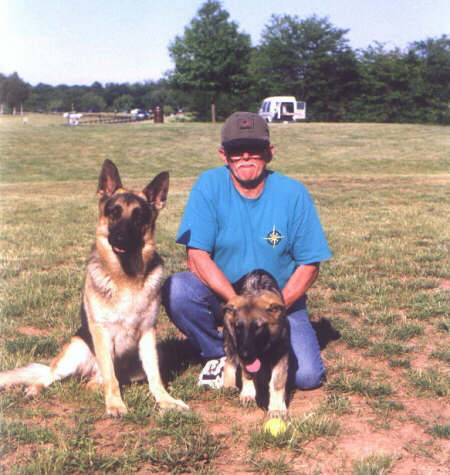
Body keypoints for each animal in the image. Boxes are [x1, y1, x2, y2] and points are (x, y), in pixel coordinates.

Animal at [0, 159, 188, 416]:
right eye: (114, 212)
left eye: (138, 217)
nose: (119, 238)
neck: (126, 277)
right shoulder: (101, 332)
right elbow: (111, 377)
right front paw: (115, 404)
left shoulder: (148, 333)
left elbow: (155, 376)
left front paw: (166, 400)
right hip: (76, 350)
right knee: (52, 375)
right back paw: (35, 389)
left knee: (95, 381)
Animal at [221, 270, 288, 418]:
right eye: (238, 327)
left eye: (258, 327)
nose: (244, 355)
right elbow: (248, 373)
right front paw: (248, 394)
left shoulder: (281, 354)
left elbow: (277, 382)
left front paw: (276, 408)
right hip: (231, 339)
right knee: (230, 360)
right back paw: (228, 384)